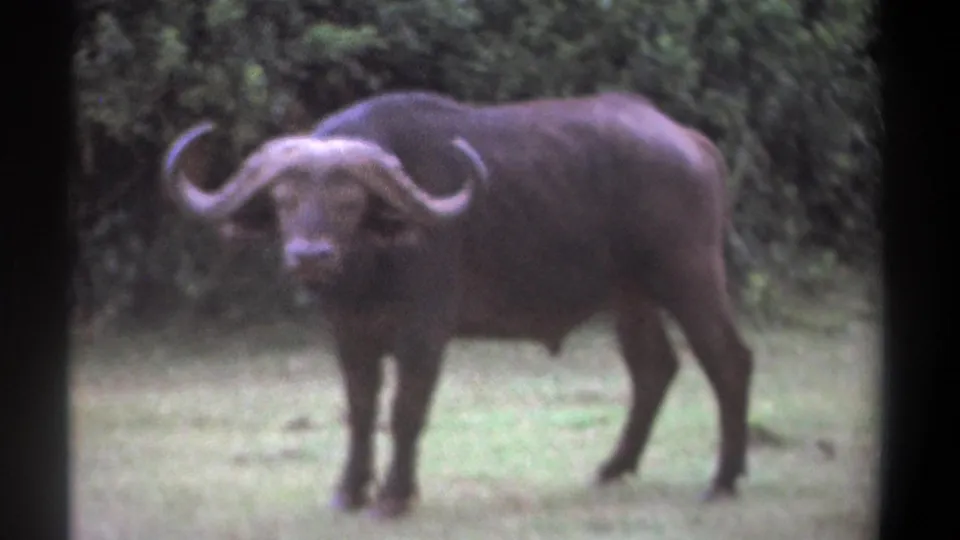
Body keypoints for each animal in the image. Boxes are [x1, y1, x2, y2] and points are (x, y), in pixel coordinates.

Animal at [162, 90, 754, 519]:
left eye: (350, 201)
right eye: (284, 201)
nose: (311, 255)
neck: (372, 265)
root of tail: (690, 141)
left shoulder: (424, 332)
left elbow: (405, 411)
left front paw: (394, 497)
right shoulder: (349, 334)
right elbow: (360, 412)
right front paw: (349, 492)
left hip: (689, 276)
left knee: (728, 360)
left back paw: (723, 481)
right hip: (629, 295)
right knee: (654, 366)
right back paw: (613, 468)